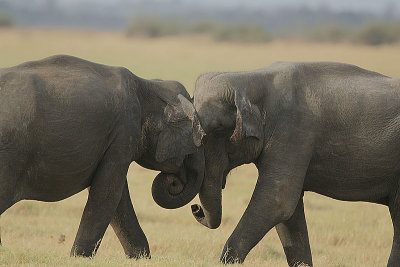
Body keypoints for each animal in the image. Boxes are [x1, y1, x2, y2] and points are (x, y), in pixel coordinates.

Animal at [0, 56, 205, 260]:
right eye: (196, 144)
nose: (196, 208)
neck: (148, 85)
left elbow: (117, 196)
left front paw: (140, 258)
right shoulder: (124, 133)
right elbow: (108, 193)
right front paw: (80, 258)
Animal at [190, 61, 400, 266]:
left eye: (218, 129)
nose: (195, 208)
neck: (250, 78)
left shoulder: (294, 130)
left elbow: (277, 201)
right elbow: (289, 213)